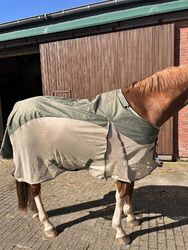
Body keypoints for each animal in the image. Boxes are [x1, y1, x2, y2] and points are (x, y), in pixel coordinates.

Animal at [0, 63, 188, 245]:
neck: (140, 109)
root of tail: (16, 109)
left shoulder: (133, 164)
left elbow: (130, 191)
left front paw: (132, 218)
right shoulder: (123, 164)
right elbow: (121, 194)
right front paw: (120, 232)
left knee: (27, 183)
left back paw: (35, 214)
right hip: (34, 161)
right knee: (35, 189)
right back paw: (48, 225)